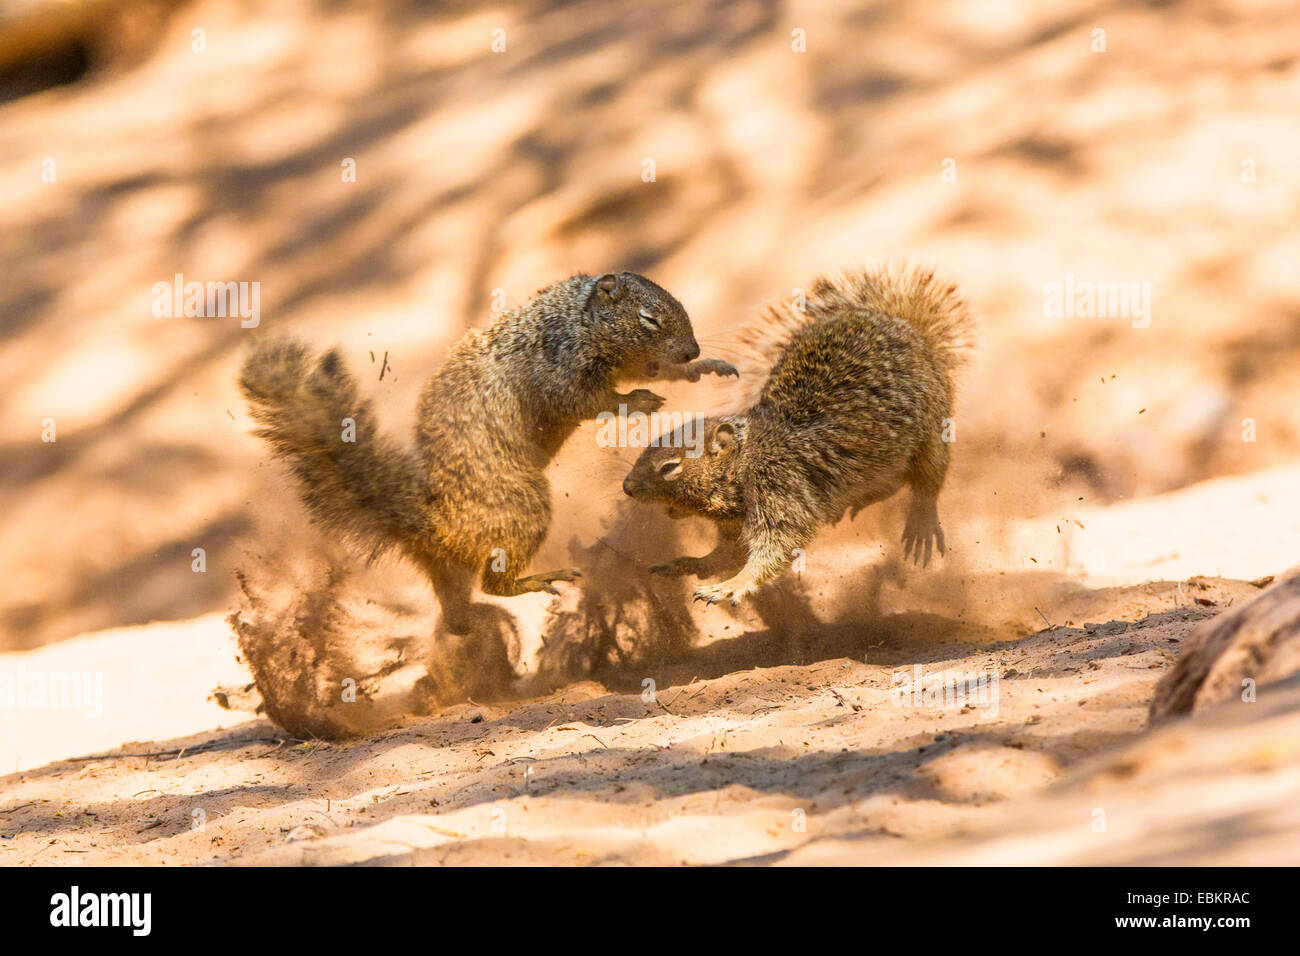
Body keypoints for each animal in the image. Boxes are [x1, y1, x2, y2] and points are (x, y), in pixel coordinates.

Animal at [239, 273, 738, 632]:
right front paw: (640, 401)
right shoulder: (562, 375)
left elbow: (654, 370)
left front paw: (704, 367)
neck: (577, 322)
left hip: (449, 568)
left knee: (458, 606)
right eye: (649, 318)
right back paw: (537, 580)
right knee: (493, 584)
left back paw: (465, 625)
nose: (692, 348)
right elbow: (593, 402)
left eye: (679, 304)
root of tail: (435, 520)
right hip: (522, 507)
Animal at [621, 264, 977, 606]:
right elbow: (724, 554)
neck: (747, 460)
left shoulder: (780, 490)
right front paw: (685, 565)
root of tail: (906, 325)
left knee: (927, 481)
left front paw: (731, 586)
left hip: (932, 429)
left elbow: (777, 547)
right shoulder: (736, 523)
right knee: (893, 483)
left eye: (670, 467)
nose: (627, 487)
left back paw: (922, 521)